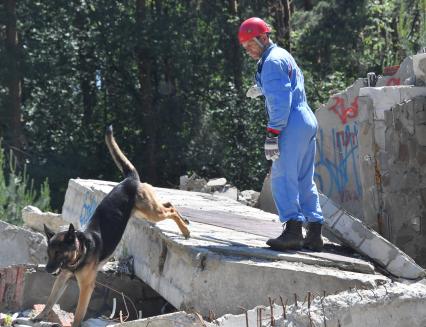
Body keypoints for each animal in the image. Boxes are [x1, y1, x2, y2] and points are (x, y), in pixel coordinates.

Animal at [34, 126, 191, 327]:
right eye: (48, 254)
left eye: (58, 253)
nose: (47, 270)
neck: (81, 250)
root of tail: (129, 180)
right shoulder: (61, 278)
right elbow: (50, 300)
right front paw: (40, 316)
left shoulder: (86, 286)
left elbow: (79, 313)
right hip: (144, 212)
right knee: (169, 203)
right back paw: (185, 222)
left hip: (151, 212)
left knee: (170, 210)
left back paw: (185, 229)